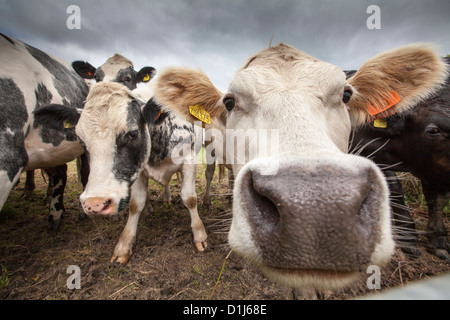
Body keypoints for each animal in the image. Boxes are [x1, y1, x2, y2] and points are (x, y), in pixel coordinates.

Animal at [34, 79, 205, 262]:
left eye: (132, 134)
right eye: (81, 139)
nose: (94, 204)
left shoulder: (188, 161)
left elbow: (189, 198)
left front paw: (199, 235)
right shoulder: (137, 170)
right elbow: (136, 204)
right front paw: (124, 245)